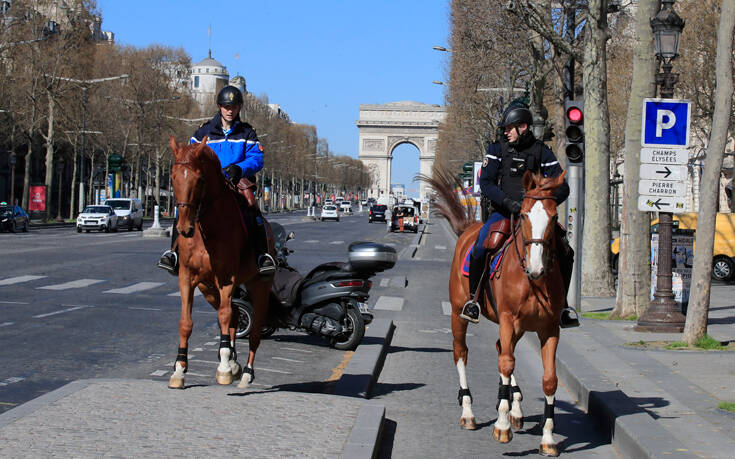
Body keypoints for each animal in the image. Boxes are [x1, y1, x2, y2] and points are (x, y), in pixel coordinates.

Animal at [167, 137, 274, 392]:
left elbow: (224, 316)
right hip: (208, 288)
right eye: (173, 177)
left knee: (253, 331)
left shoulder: (227, 277)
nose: (184, 228)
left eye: (199, 179)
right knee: (235, 314)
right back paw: (234, 361)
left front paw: (224, 367)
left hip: (259, 285)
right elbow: (186, 323)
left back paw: (245, 373)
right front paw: (179, 369)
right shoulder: (187, 277)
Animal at [428, 169, 568, 456]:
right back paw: (469, 412)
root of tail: (470, 229)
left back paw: (516, 406)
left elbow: (549, 379)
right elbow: (505, 363)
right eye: (523, 214)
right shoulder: (507, 319)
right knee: (462, 352)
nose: (536, 267)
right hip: (459, 313)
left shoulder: (549, 328)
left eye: (554, 217)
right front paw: (502, 426)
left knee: (499, 347)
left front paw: (548, 439)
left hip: (519, 327)